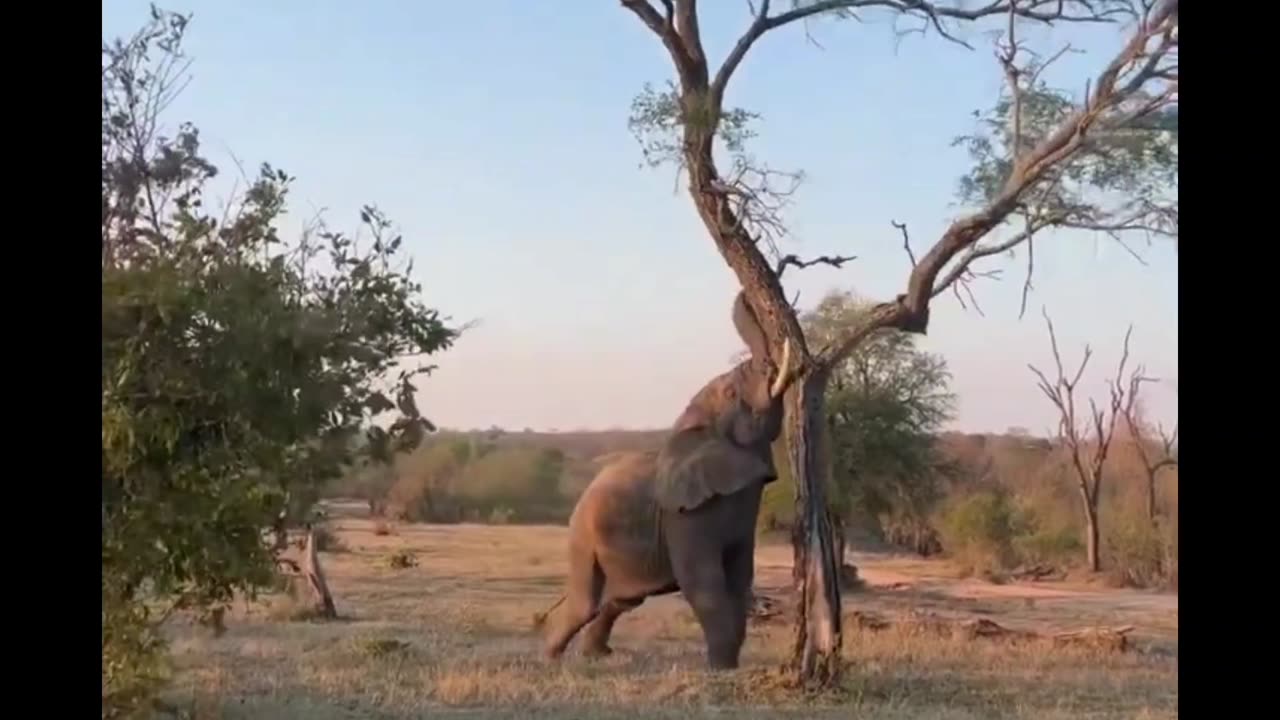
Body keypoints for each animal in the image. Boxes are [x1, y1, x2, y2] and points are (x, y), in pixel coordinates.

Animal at [535, 289, 793, 666]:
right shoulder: (683, 515)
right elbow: (703, 581)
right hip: (582, 534)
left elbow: (740, 577)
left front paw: (729, 665)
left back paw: (595, 655)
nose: (749, 292)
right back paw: (551, 658)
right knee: (586, 603)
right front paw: (719, 669)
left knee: (622, 599)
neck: (698, 426)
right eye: (731, 393)